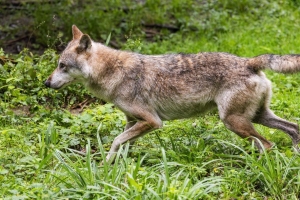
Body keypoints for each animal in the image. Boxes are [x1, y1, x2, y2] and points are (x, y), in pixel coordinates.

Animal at [44, 25, 300, 162]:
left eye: (62, 66)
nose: (46, 82)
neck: (112, 71)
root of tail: (249, 61)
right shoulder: (132, 122)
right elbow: (121, 144)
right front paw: (110, 169)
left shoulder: (152, 121)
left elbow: (116, 140)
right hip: (256, 117)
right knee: (293, 128)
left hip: (233, 122)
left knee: (267, 144)